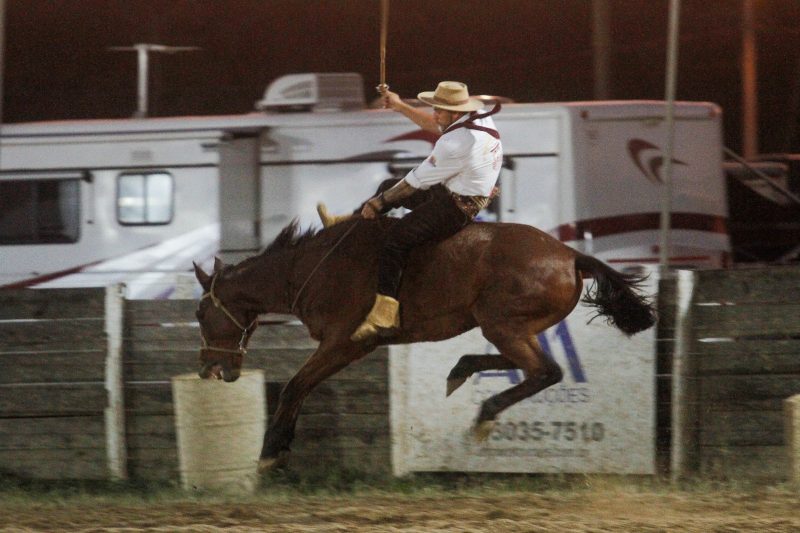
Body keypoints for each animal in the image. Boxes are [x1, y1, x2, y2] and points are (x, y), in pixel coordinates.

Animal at [194, 216, 656, 470]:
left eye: (199, 314)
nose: (210, 369)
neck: (308, 268)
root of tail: (570, 256)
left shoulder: (346, 342)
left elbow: (296, 386)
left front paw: (272, 452)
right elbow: (300, 386)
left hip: (503, 324)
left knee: (546, 371)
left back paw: (484, 413)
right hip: (507, 326)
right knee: (523, 365)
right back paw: (461, 371)